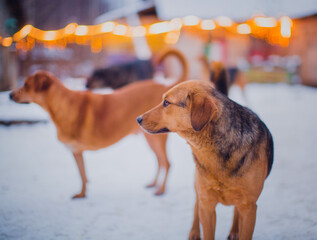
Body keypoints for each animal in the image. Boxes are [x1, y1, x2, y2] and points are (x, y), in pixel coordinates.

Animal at [9, 47, 188, 198]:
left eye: (26, 85)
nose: (10, 95)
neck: (62, 105)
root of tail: (163, 88)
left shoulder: (76, 151)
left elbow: (82, 175)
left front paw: (81, 195)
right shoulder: (76, 152)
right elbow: (83, 175)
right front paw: (82, 193)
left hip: (157, 139)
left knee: (167, 163)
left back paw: (161, 190)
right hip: (150, 138)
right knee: (160, 162)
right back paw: (154, 184)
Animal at [137, 78, 272, 238]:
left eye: (166, 102)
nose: (138, 119)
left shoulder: (249, 207)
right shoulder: (207, 203)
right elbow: (206, 228)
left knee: (235, 211)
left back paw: (234, 231)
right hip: (199, 189)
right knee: (197, 207)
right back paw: (194, 232)